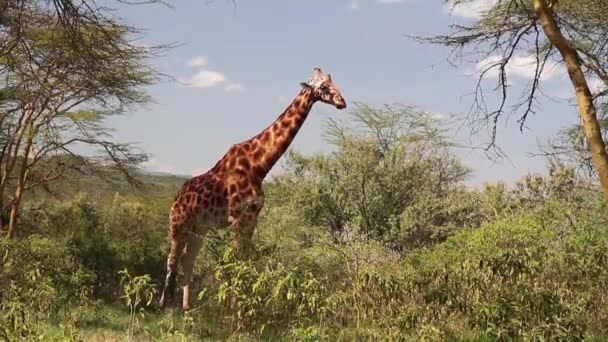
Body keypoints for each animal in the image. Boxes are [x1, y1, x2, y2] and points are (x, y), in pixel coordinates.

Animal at [158, 66, 346, 310]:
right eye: (323, 86)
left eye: (335, 83)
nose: (342, 102)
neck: (259, 165)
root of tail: (176, 197)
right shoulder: (238, 217)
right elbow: (236, 260)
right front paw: (235, 307)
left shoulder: (253, 217)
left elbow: (246, 258)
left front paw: (245, 303)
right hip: (178, 225)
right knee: (172, 259)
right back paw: (162, 304)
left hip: (199, 228)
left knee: (188, 259)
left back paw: (187, 307)